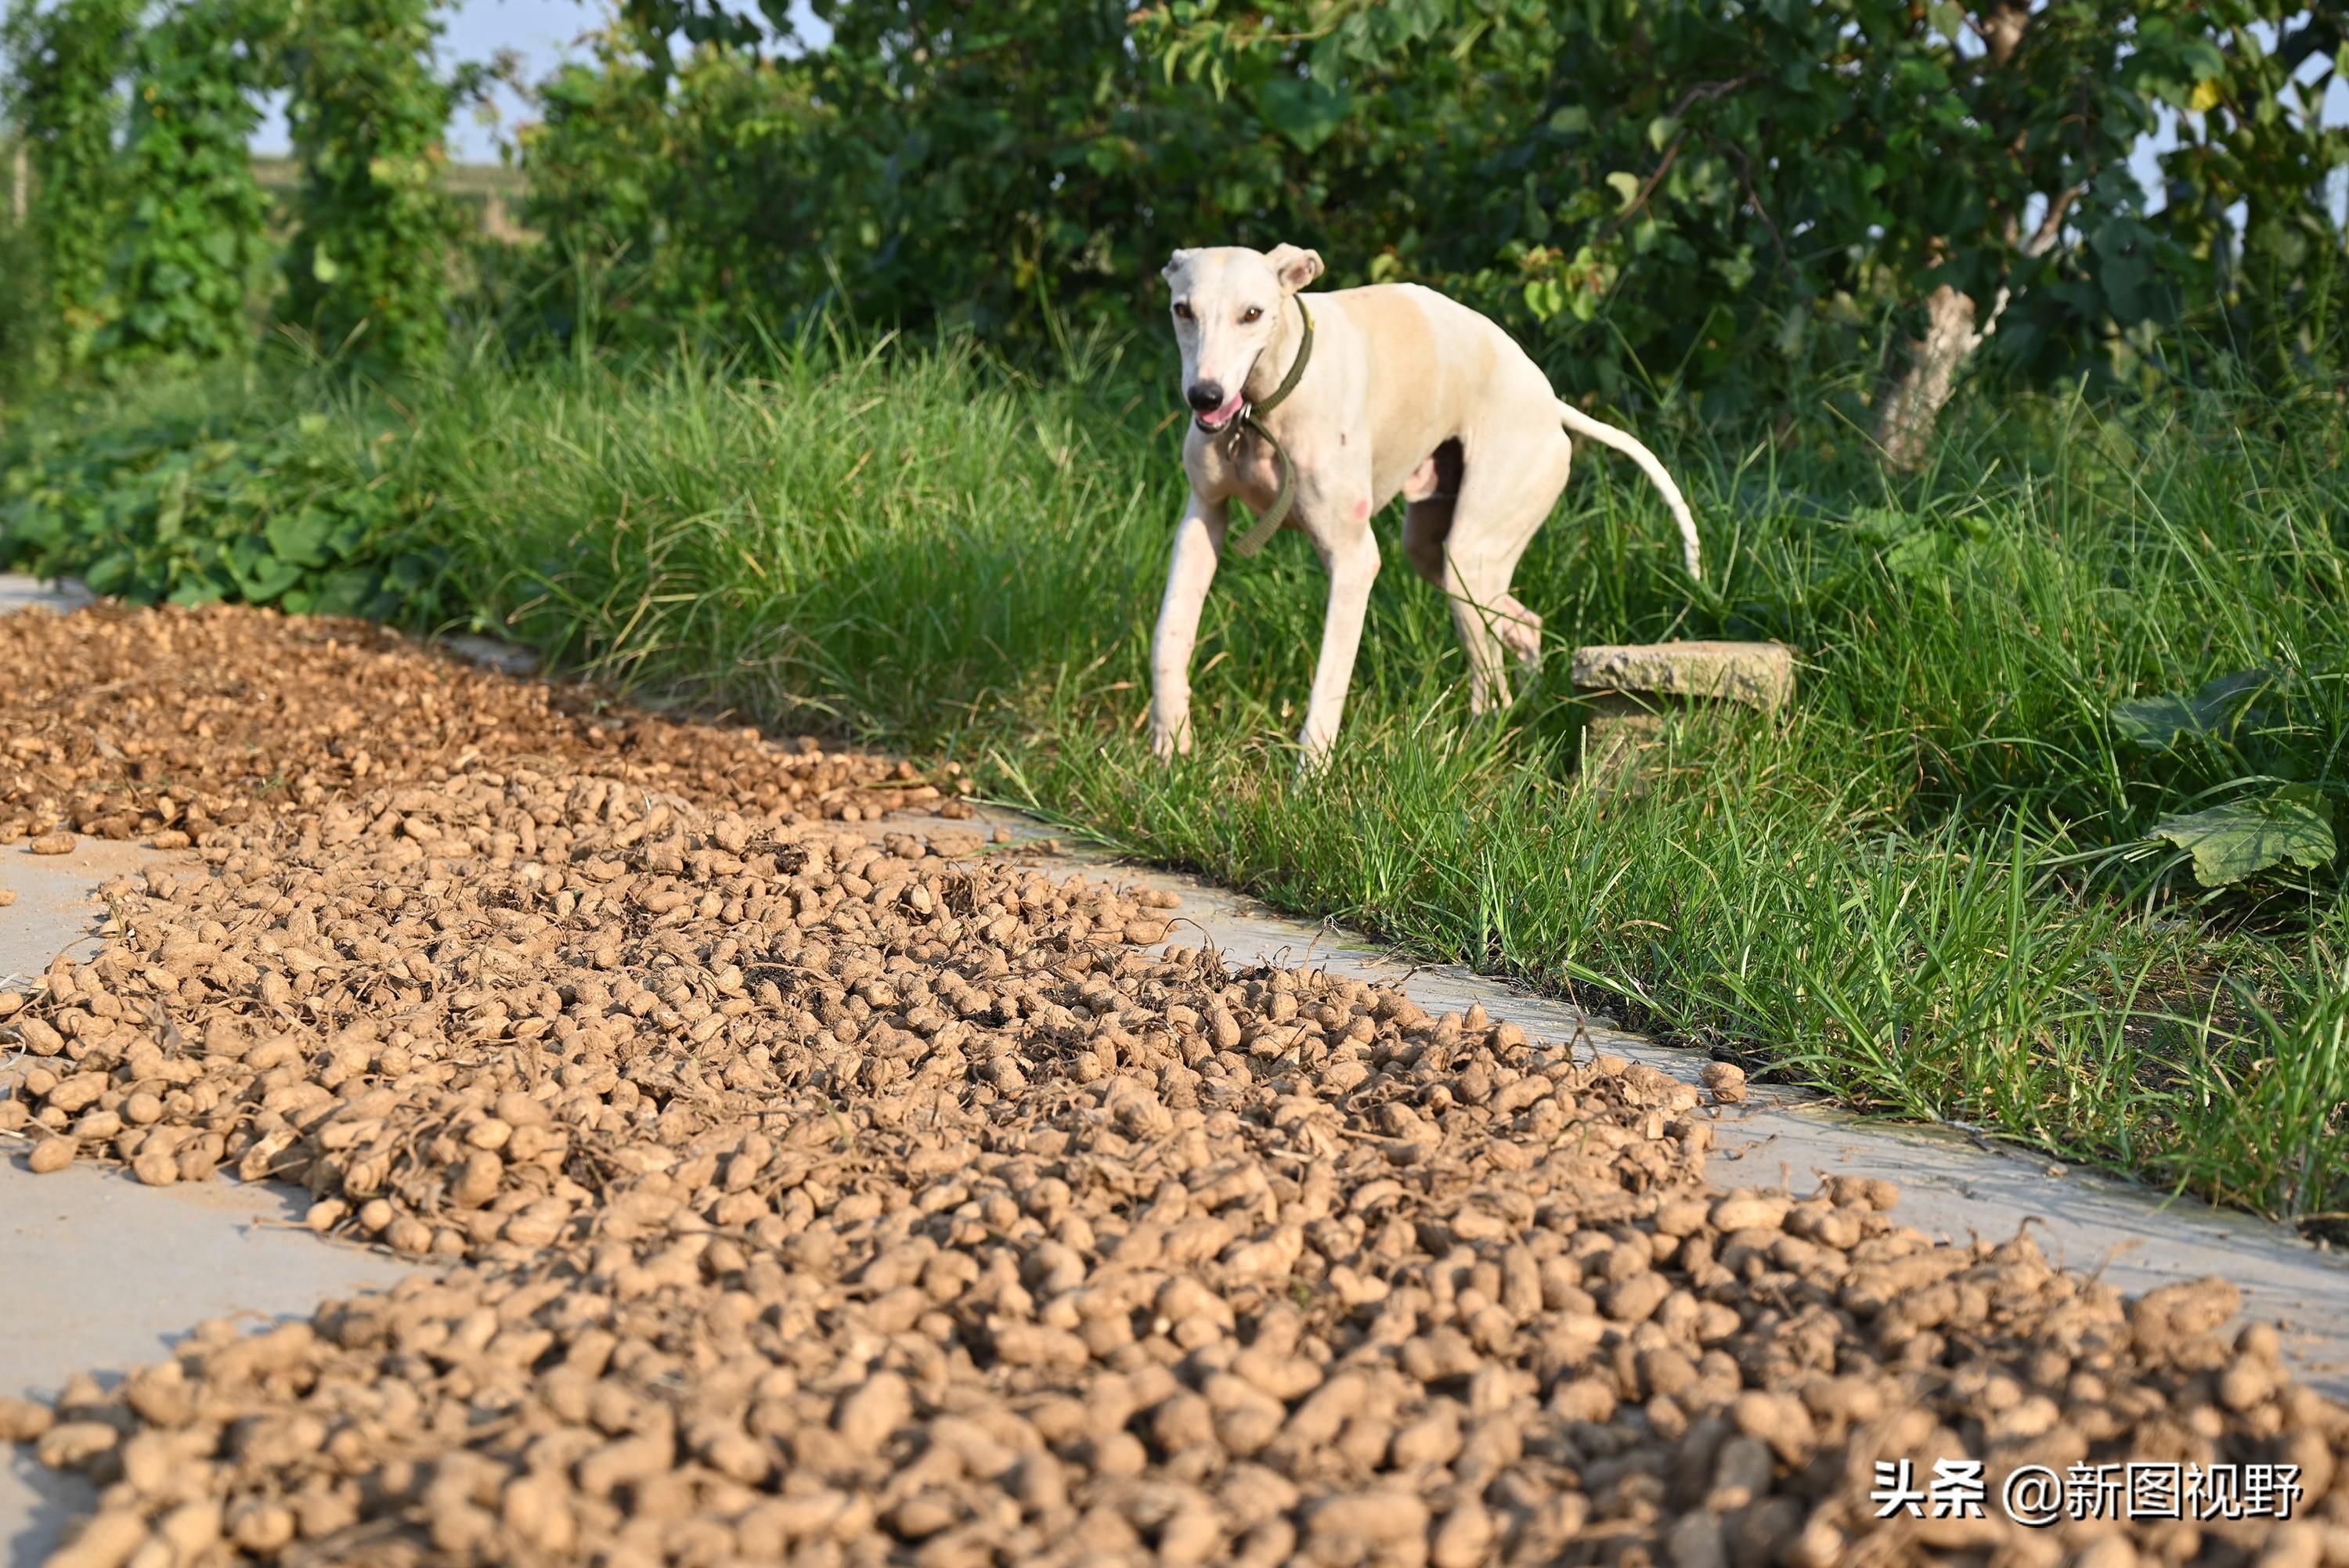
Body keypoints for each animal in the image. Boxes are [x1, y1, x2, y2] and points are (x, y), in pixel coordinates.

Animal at [1146, 240, 1701, 770]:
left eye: (1253, 313)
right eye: (1182, 310)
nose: (1204, 395)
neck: (1265, 405)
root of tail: (1550, 402)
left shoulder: (1354, 562)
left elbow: (1328, 685)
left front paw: (1310, 781)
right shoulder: (1202, 519)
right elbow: (1168, 635)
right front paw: (1170, 748)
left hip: (1470, 561)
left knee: (1491, 683)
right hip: (1439, 555)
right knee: (1524, 625)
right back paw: (1532, 705)